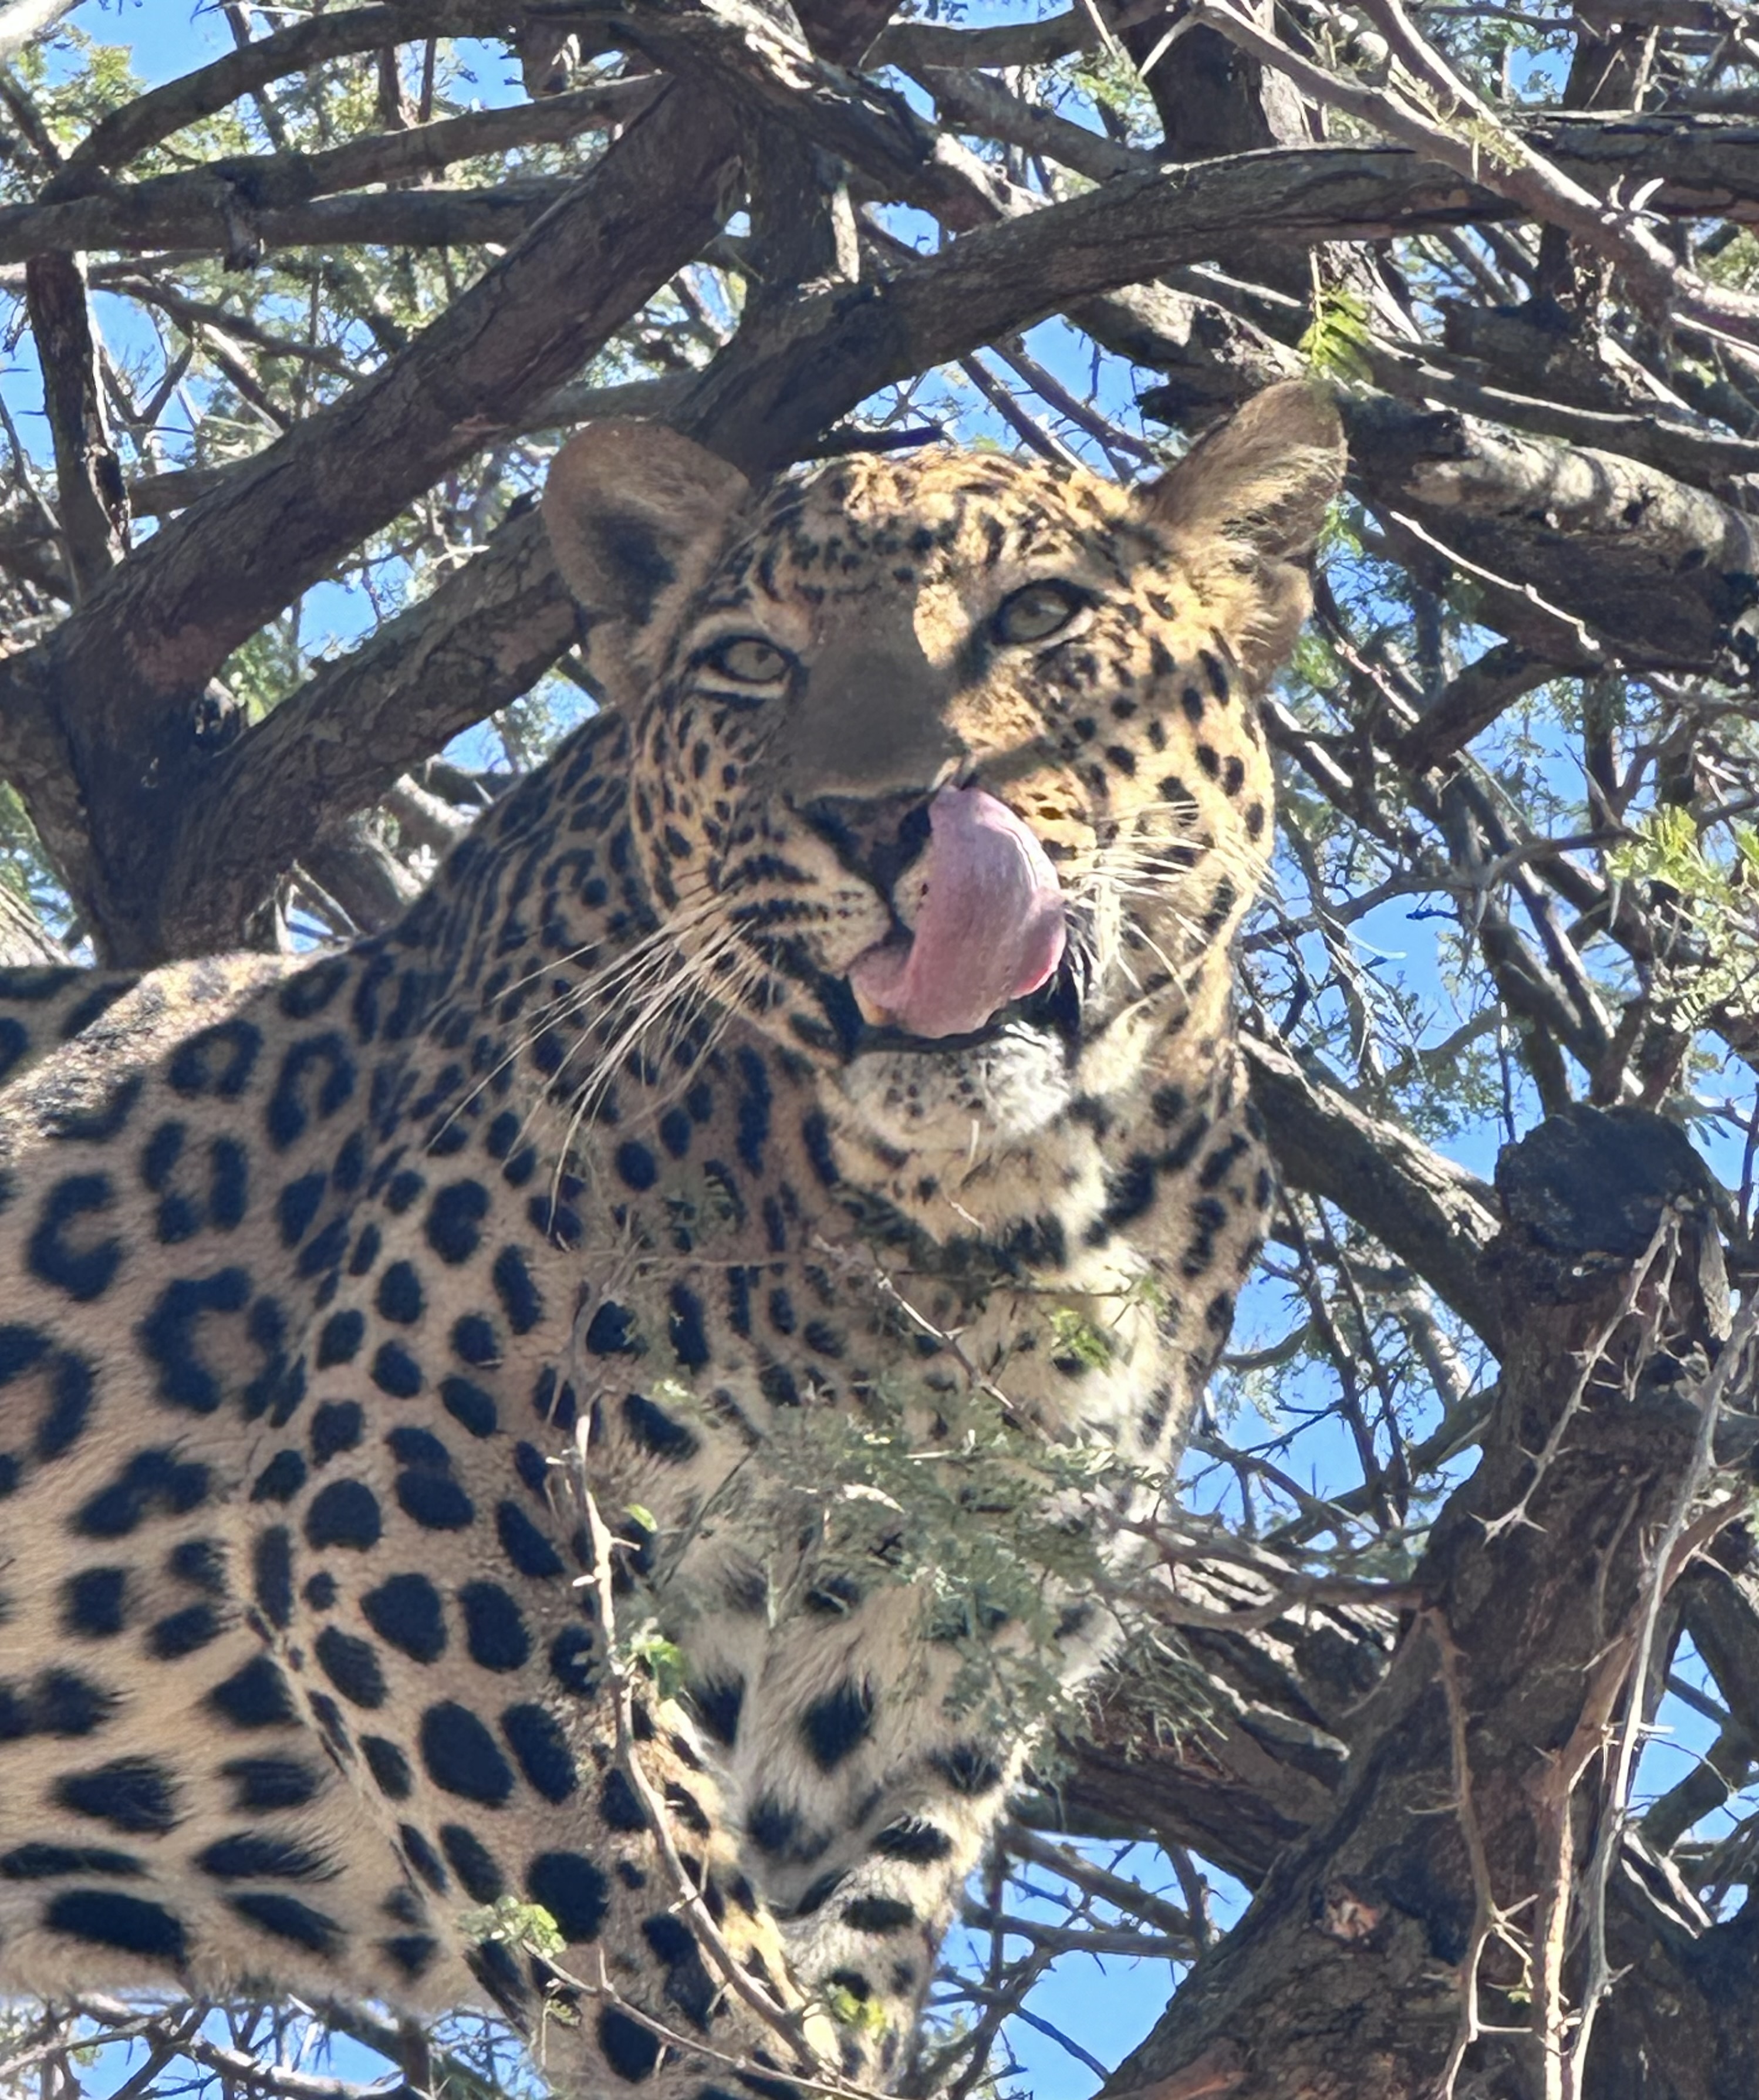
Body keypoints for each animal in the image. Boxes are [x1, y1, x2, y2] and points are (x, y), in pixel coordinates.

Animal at [0, 382, 1343, 2096]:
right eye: (752, 664)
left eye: (1038, 617)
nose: (875, 817)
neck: (994, 1219)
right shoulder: (409, 1482)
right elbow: (654, 1917)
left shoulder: (929, 1670)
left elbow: (842, 1937)